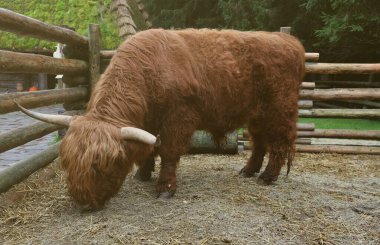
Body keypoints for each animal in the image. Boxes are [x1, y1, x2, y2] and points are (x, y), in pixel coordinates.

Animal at [16, 28, 304, 209]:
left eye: (104, 165)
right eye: (67, 162)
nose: (83, 201)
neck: (146, 71)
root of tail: (290, 41)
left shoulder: (179, 117)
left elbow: (167, 150)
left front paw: (165, 187)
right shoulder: (146, 122)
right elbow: (148, 148)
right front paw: (143, 174)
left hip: (279, 110)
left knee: (279, 144)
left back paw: (267, 176)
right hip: (256, 114)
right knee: (259, 142)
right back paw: (248, 170)